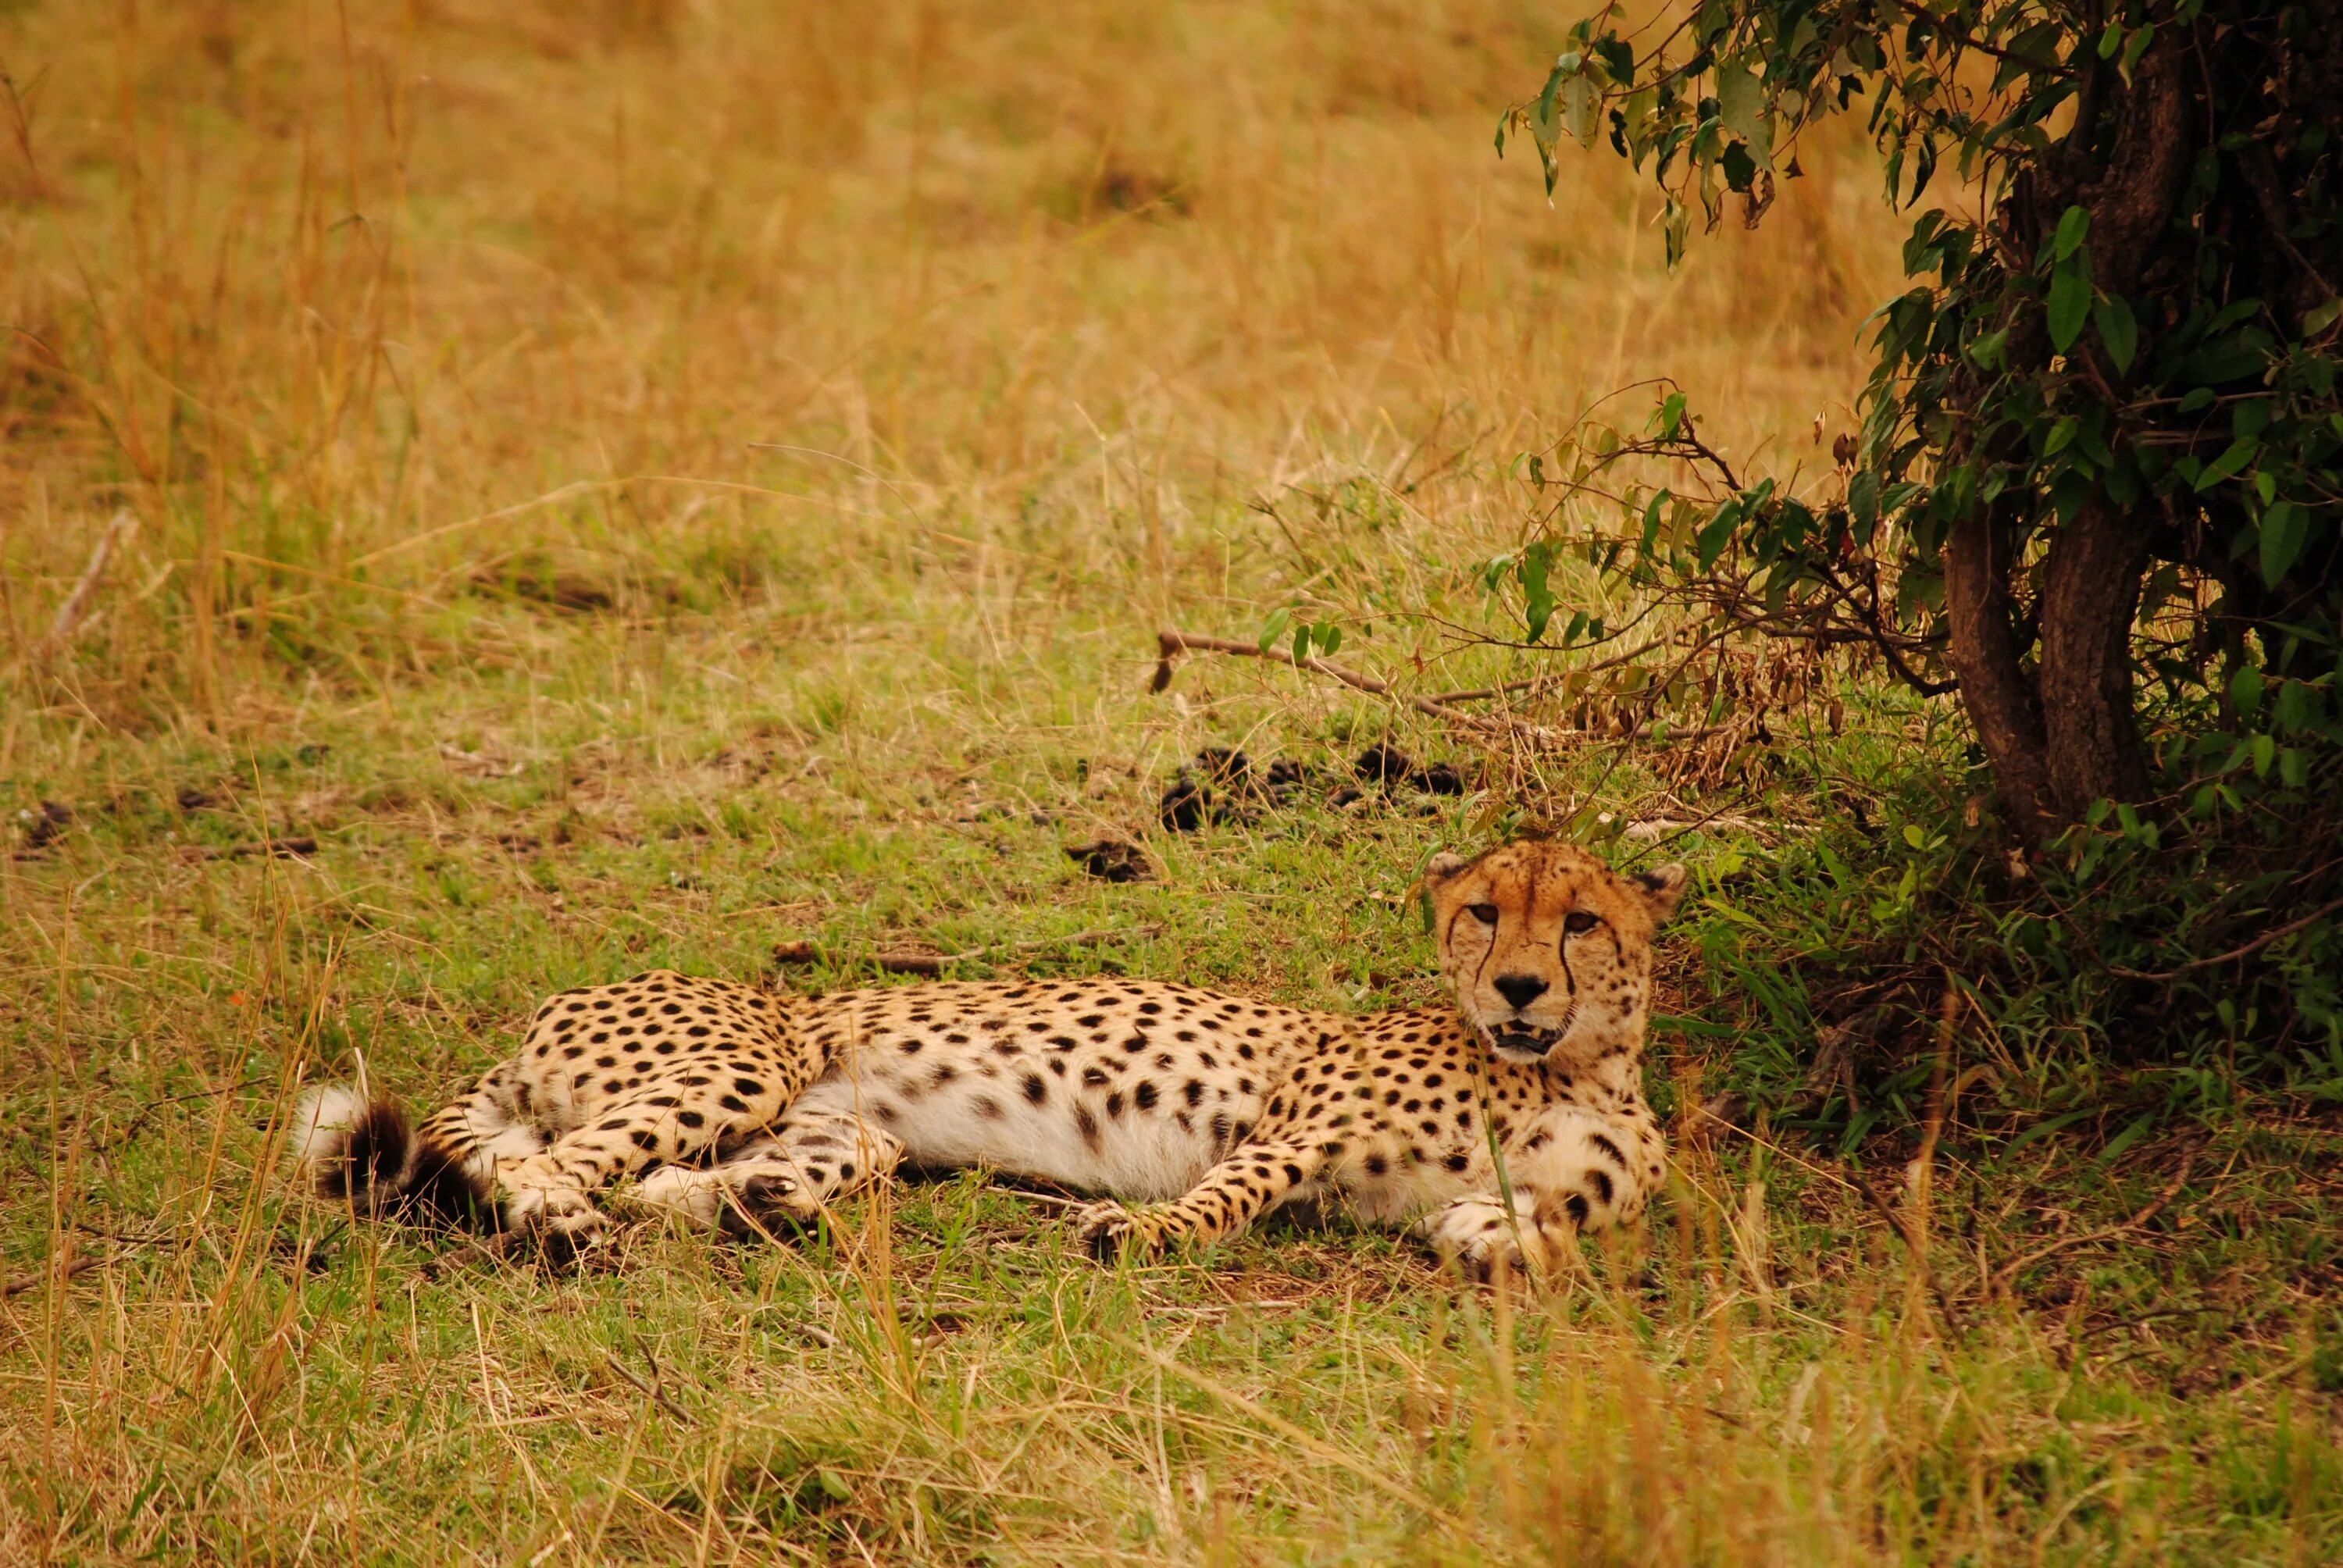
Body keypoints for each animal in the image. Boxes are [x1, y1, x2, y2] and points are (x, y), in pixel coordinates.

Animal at [293, 843, 1687, 1274]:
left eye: (1580, 921)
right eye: (1484, 912)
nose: (1517, 986)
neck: (1572, 1067)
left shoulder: (1509, 1199)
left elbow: (1533, 1237)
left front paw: (1502, 1254)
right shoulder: (1295, 1130)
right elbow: (1225, 1198)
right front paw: (1138, 1234)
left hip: (841, 1128)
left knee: (669, 1177)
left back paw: (751, 1208)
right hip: (738, 1064)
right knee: (558, 1166)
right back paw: (567, 1230)